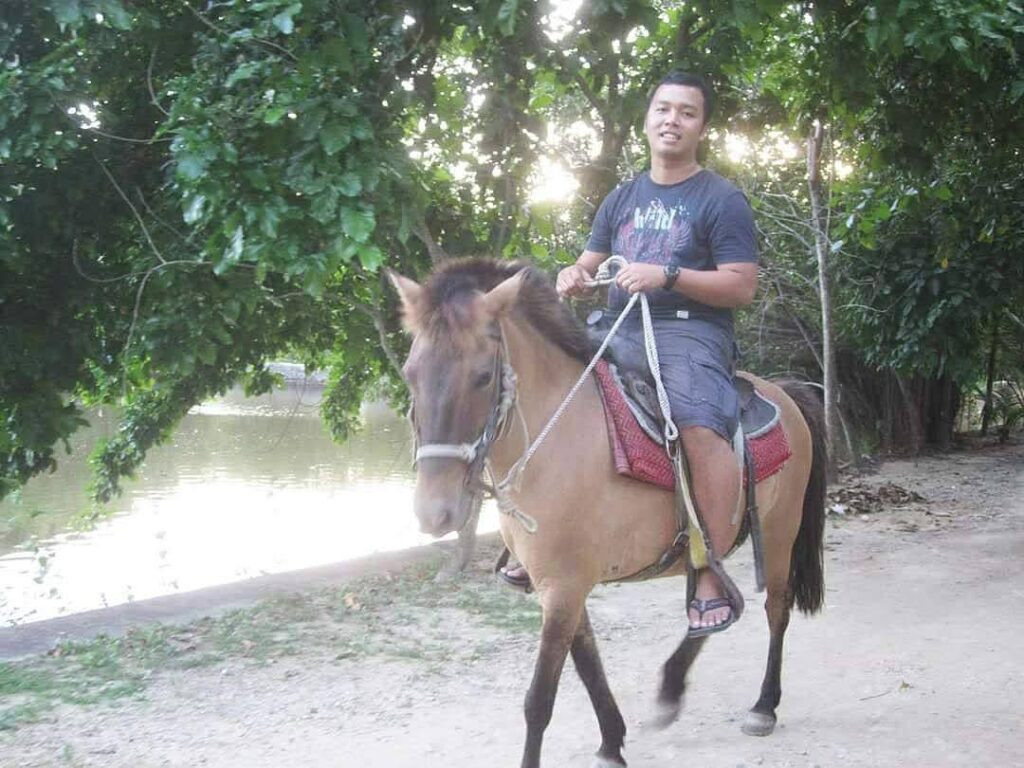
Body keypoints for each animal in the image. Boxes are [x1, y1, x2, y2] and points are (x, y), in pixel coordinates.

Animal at [387, 260, 827, 768]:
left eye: (481, 376)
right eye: (410, 373)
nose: (434, 513)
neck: (557, 440)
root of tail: (786, 392)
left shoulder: (563, 587)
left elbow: (540, 699)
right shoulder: (562, 584)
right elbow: (587, 662)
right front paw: (612, 743)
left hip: (779, 532)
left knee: (776, 609)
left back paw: (763, 705)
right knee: (712, 605)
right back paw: (672, 686)